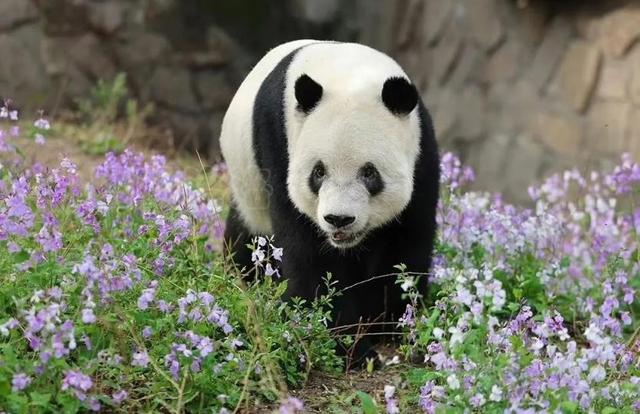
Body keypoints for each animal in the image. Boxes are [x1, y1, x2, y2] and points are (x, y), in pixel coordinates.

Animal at [220, 39, 440, 362]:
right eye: (318, 172)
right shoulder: (280, 143)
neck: (349, 70)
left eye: (369, 173)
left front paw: (392, 323)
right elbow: (310, 254)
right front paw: (350, 346)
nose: (339, 219)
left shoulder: (421, 152)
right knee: (248, 238)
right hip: (249, 186)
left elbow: (406, 240)